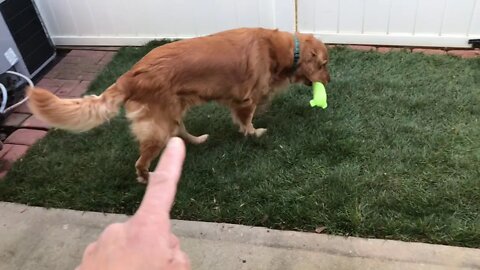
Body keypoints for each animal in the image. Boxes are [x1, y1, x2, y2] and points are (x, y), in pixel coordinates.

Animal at [27, 27, 330, 182]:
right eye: (324, 64)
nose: (329, 80)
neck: (280, 49)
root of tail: (130, 75)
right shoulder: (245, 99)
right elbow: (247, 119)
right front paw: (253, 133)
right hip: (158, 124)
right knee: (142, 160)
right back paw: (148, 178)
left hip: (173, 110)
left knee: (179, 131)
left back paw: (197, 140)